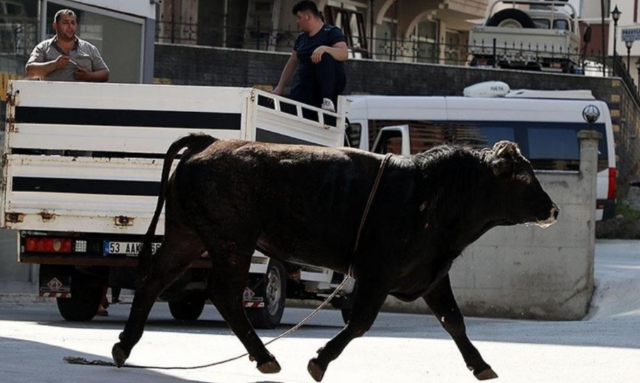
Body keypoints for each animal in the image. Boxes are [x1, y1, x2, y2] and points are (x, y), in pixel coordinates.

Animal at [112, 134, 556, 382]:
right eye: (524, 176)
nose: (553, 209)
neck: (432, 192)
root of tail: (209, 143)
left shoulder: (430, 275)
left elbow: (454, 322)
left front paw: (481, 366)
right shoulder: (377, 274)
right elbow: (360, 322)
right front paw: (319, 361)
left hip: (186, 236)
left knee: (153, 280)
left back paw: (123, 347)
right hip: (231, 241)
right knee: (224, 295)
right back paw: (265, 357)